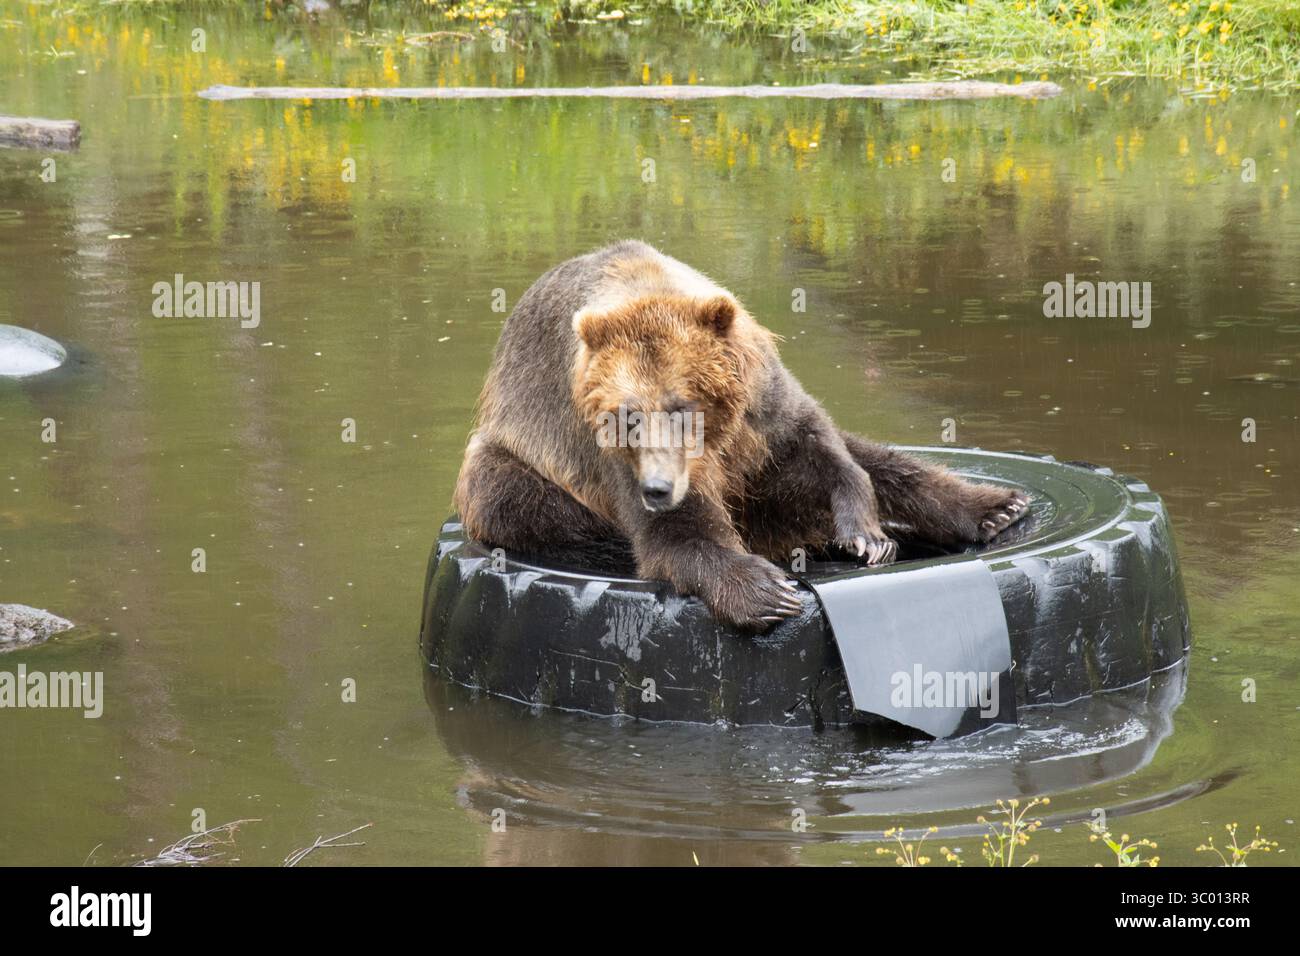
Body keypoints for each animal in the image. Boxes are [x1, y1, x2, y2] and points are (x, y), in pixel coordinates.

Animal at [452, 240, 1028, 630]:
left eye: (681, 408)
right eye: (628, 417)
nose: (657, 489)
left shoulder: (760, 404)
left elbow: (821, 446)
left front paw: (864, 532)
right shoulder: (602, 450)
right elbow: (677, 534)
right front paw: (766, 591)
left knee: (878, 459)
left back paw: (996, 507)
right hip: (519, 456)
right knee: (504, 490)